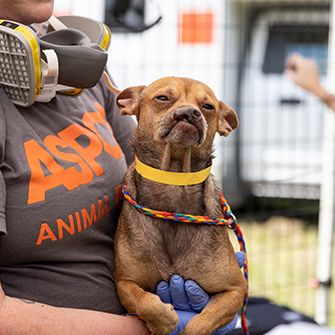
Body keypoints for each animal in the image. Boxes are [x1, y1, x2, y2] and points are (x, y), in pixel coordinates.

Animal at [115, 77, 247, 334]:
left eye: (207, 107)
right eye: (162, 98)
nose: (189, 113)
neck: (174, 183)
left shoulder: (236, 289)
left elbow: (201, 323)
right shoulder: (124, 282)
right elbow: (143, 301)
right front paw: (163, 320)